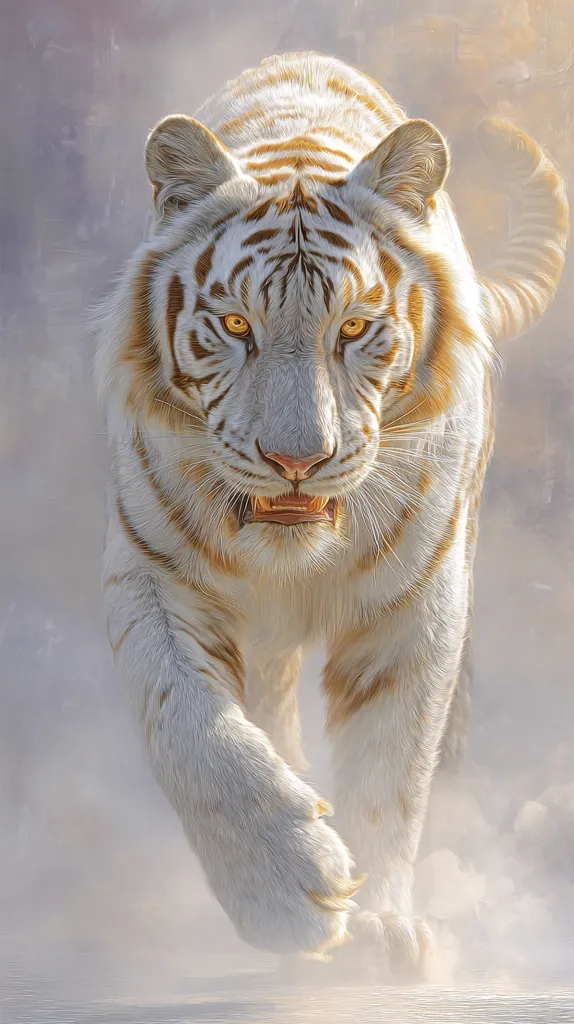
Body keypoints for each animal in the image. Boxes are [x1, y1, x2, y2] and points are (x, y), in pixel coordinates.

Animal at [95, 51, 568, 975]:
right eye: (234, 323)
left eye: (354, 328)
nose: (297, 461)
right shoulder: (150, 572)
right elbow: (193, 725)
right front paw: (286, 895)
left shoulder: (415, 605)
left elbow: (392, 771)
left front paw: (380, 926)